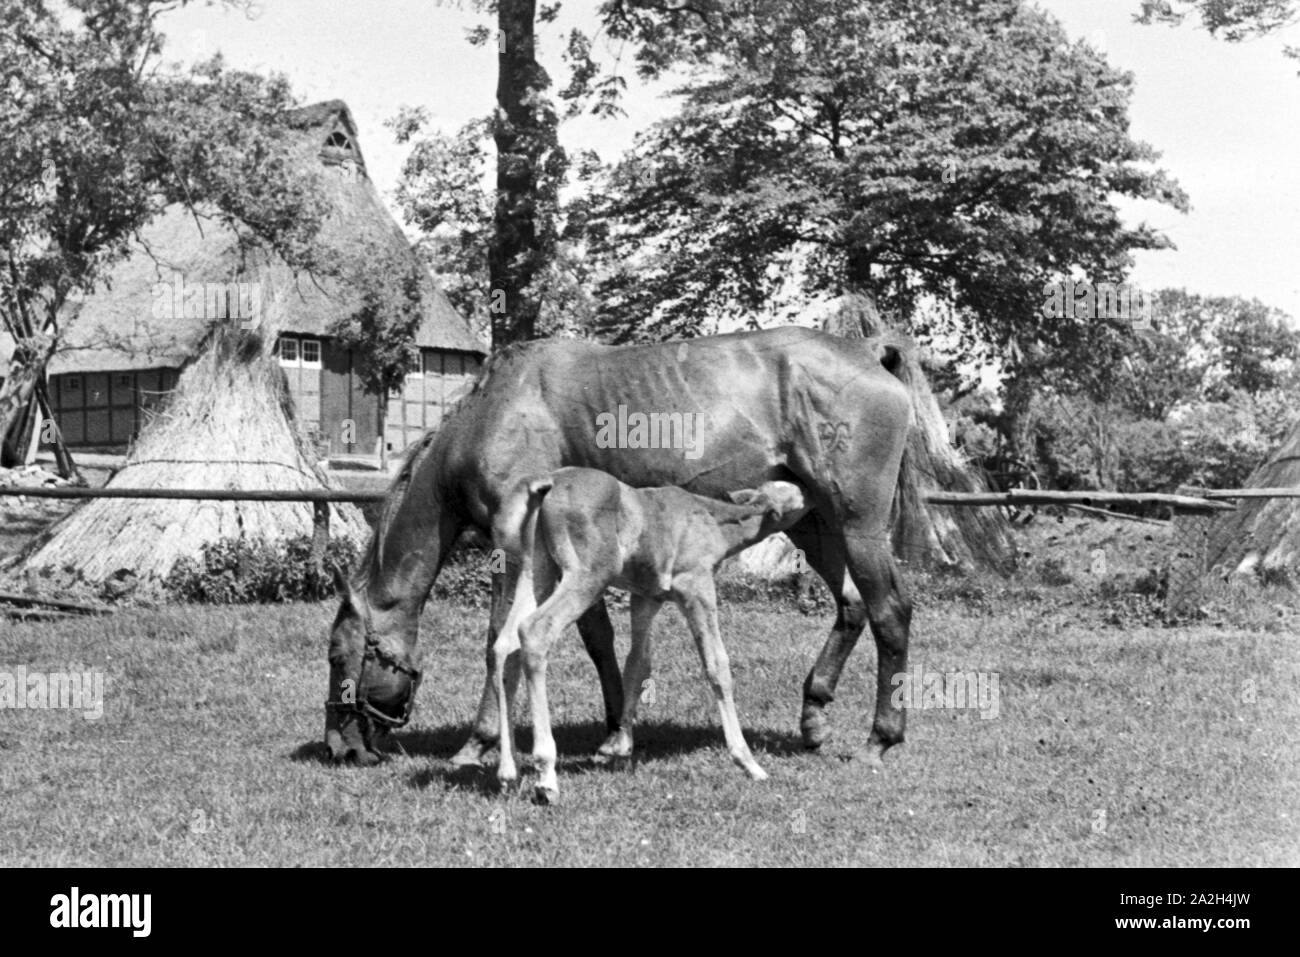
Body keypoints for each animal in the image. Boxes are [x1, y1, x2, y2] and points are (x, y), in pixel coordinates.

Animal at [488, 465, 806, 800]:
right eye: (794, 495)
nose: (806, 489)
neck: (714, 522)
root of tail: (547, 486)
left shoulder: (646, 597)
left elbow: (638, 664)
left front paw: (618, 745)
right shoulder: (696, 584)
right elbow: (717, 665)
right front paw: (749, 763)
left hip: (537, 567)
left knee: (504, 644)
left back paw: (508, 771)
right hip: (589, 573)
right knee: (534, 630)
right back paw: (546, 778)